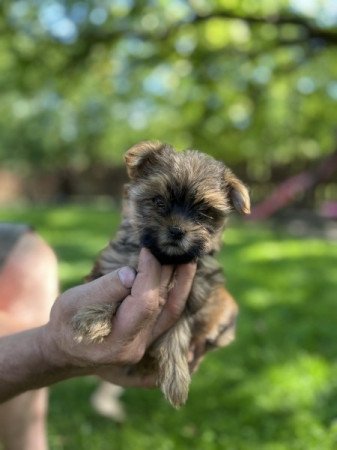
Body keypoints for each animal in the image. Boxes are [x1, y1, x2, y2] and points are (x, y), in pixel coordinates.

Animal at [71, 142, 249, 408]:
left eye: (204, 212)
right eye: (158, 201)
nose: (177, 231)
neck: (167, 260)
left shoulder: (192, 296)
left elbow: (176, 334)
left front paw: (176, 379)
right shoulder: (116, 265)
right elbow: (119, 290)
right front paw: (94, 318)